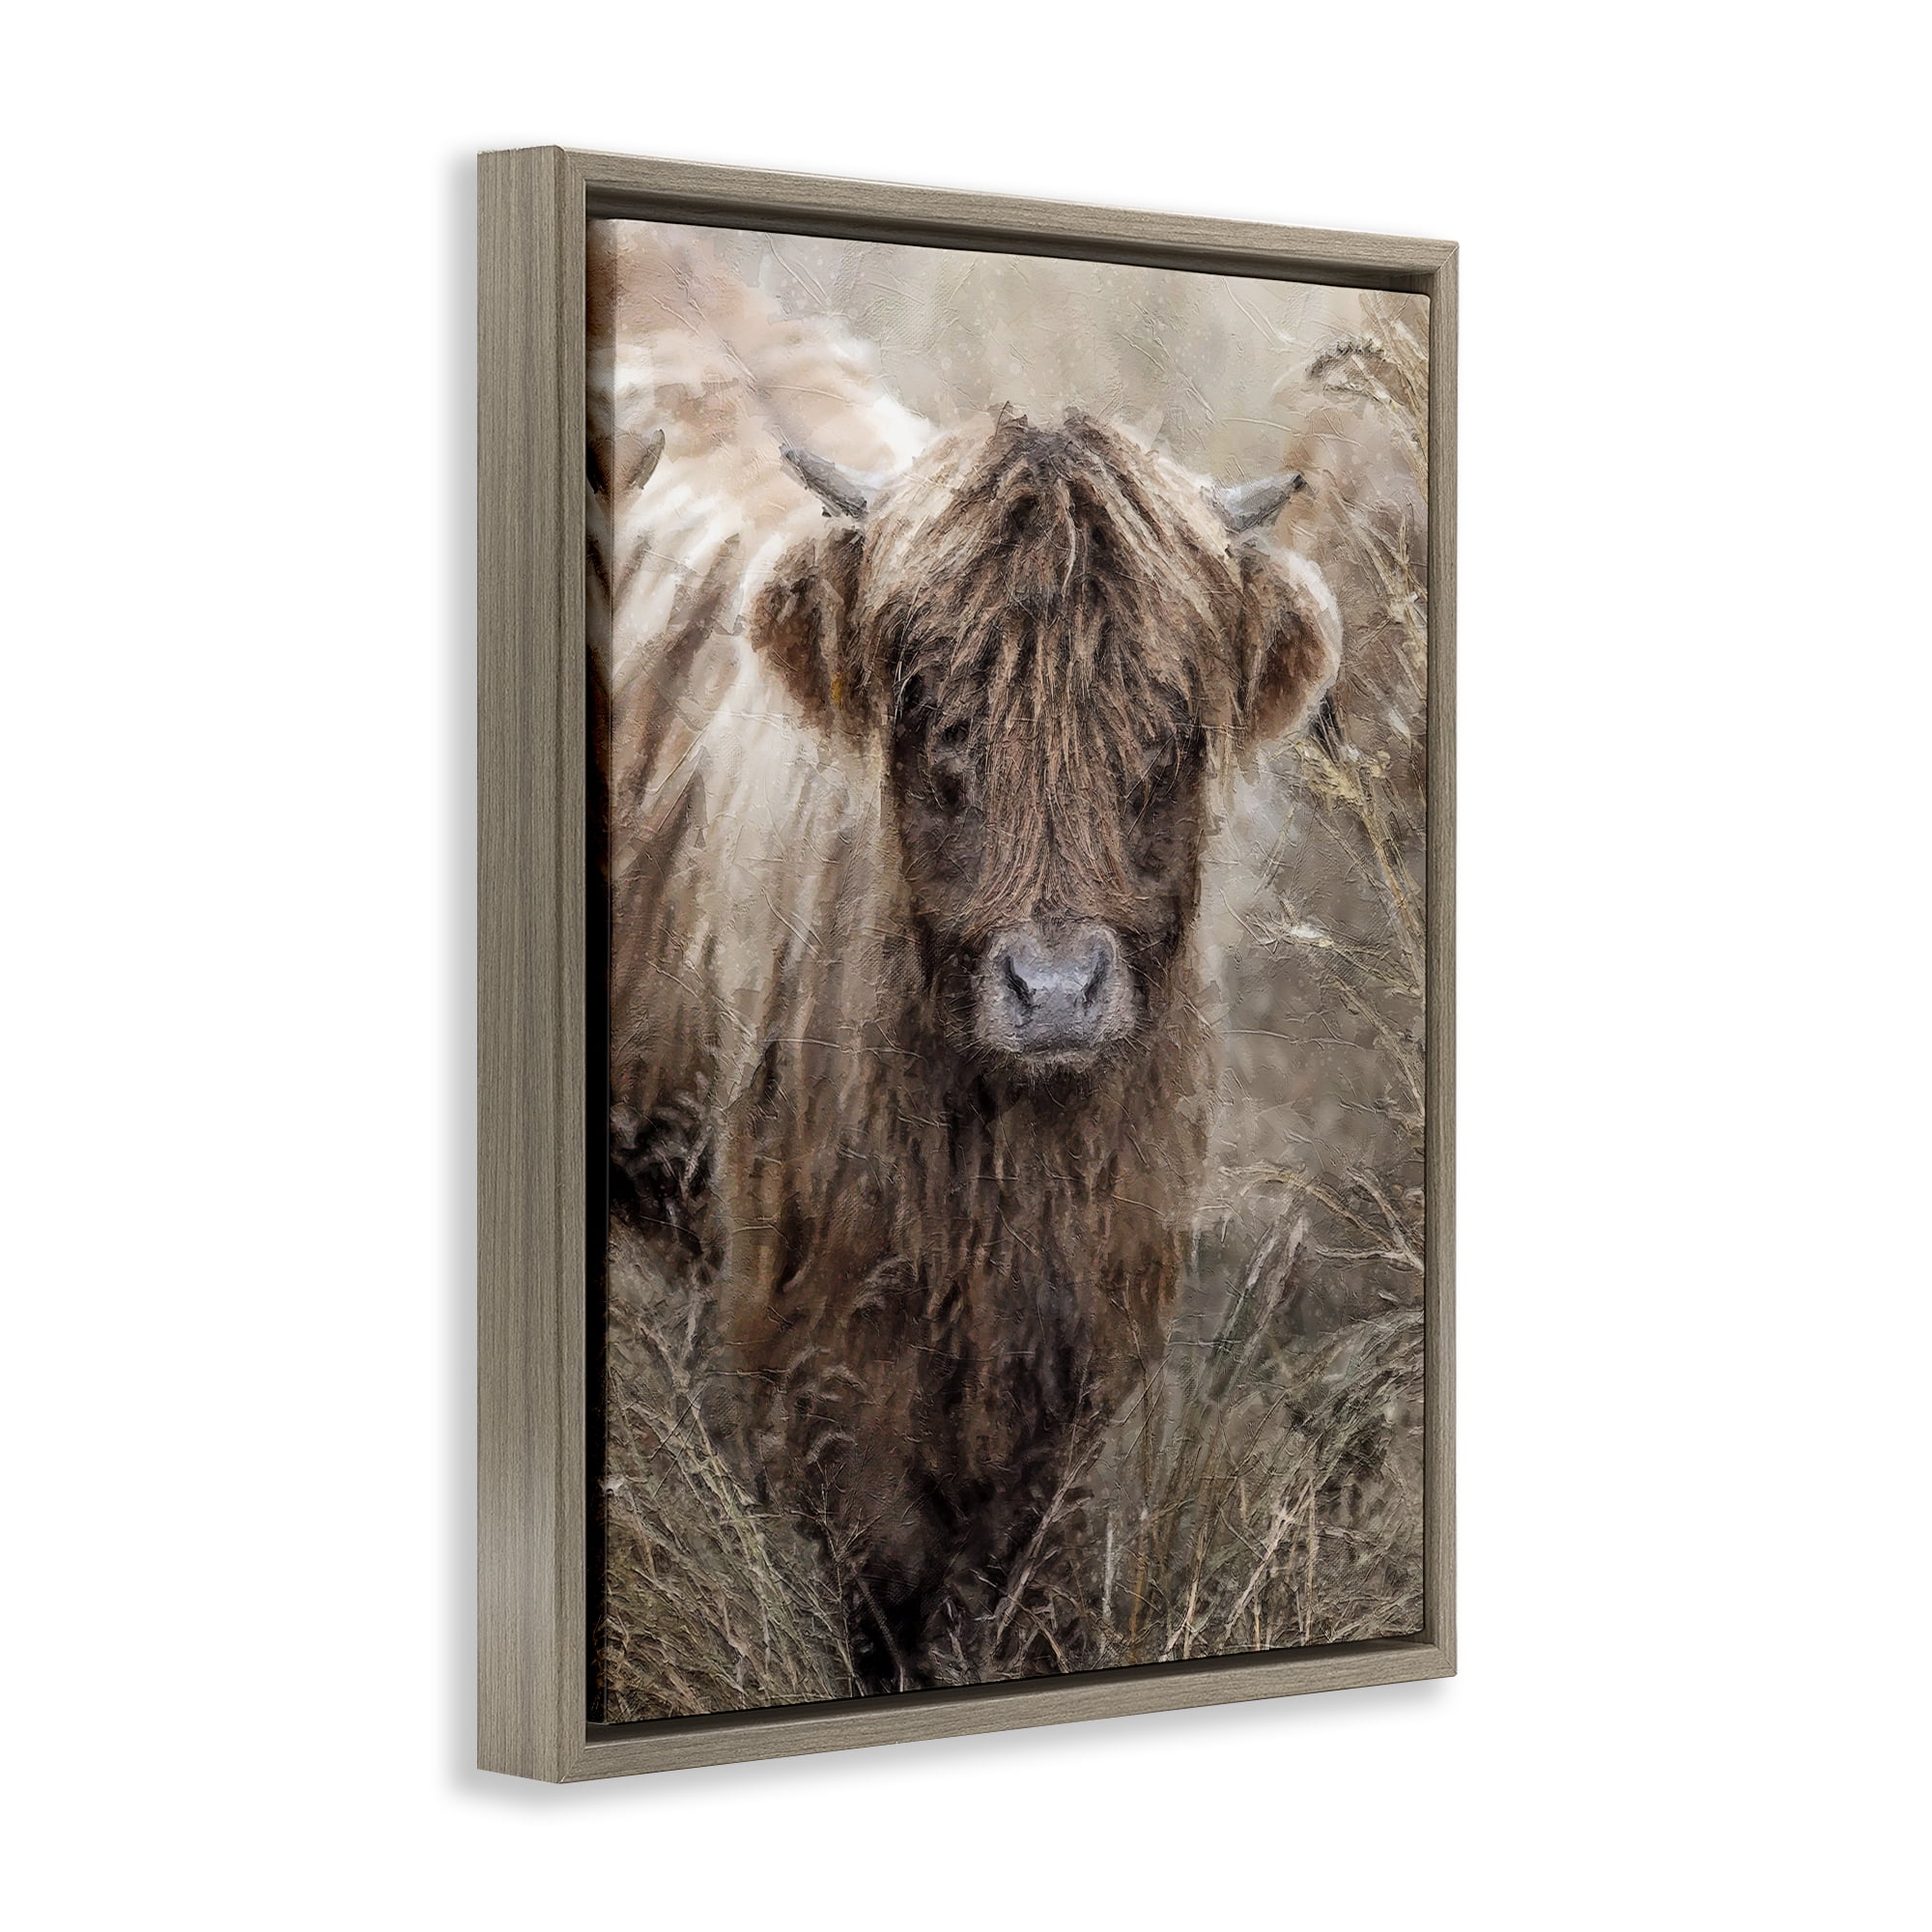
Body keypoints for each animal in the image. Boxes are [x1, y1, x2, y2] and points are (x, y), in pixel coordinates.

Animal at [608, 405, 1341, 1691]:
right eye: (934, 720)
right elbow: (883, 1572)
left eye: (1167, 735)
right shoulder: (818, 1347)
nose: (1052, 992)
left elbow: (1039, 1569)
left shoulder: (1085, 1349)